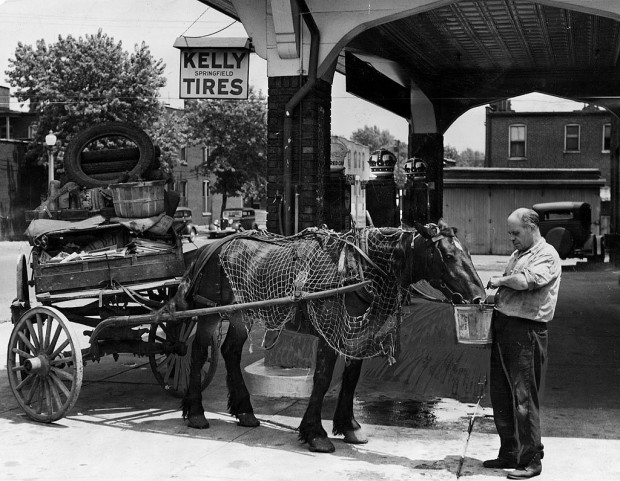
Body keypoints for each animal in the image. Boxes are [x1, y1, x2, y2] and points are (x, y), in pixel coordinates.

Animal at [168, 219, 484, 452]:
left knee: (230, 352)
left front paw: (349, 426)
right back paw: (195, 412)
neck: (361, 268)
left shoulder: (358, 333)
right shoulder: (329, 329)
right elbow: (322, 378)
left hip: (240, 314)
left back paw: (245, 411)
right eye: (448, 256)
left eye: (468, 252)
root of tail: (210, 247)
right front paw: (315, 433)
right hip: (209, 312)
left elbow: (351, 378)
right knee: (198, 352)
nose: (479, 297)